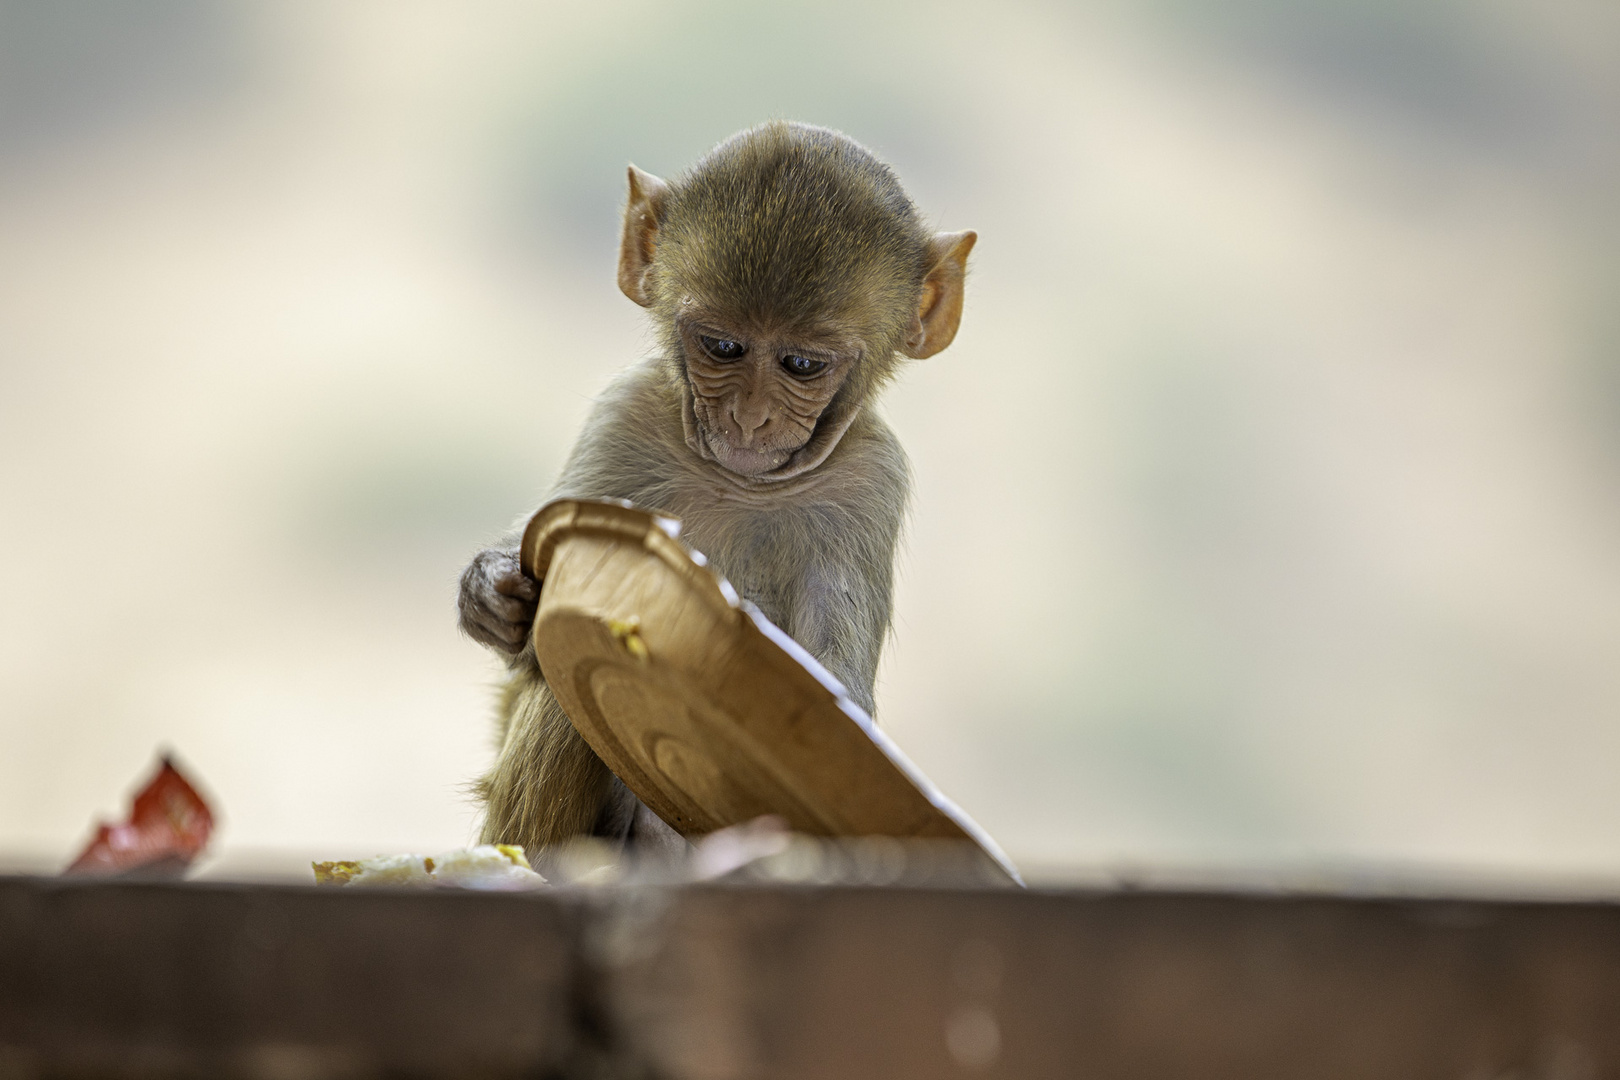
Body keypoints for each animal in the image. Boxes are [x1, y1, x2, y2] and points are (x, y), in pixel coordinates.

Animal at [463, 122, 978, 854]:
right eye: (723, 347)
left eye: (801, 364)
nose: (750, 418)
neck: (741, 484)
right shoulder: (623, 416)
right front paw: (493, 590)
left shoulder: (870, 481)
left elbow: (838, 698)